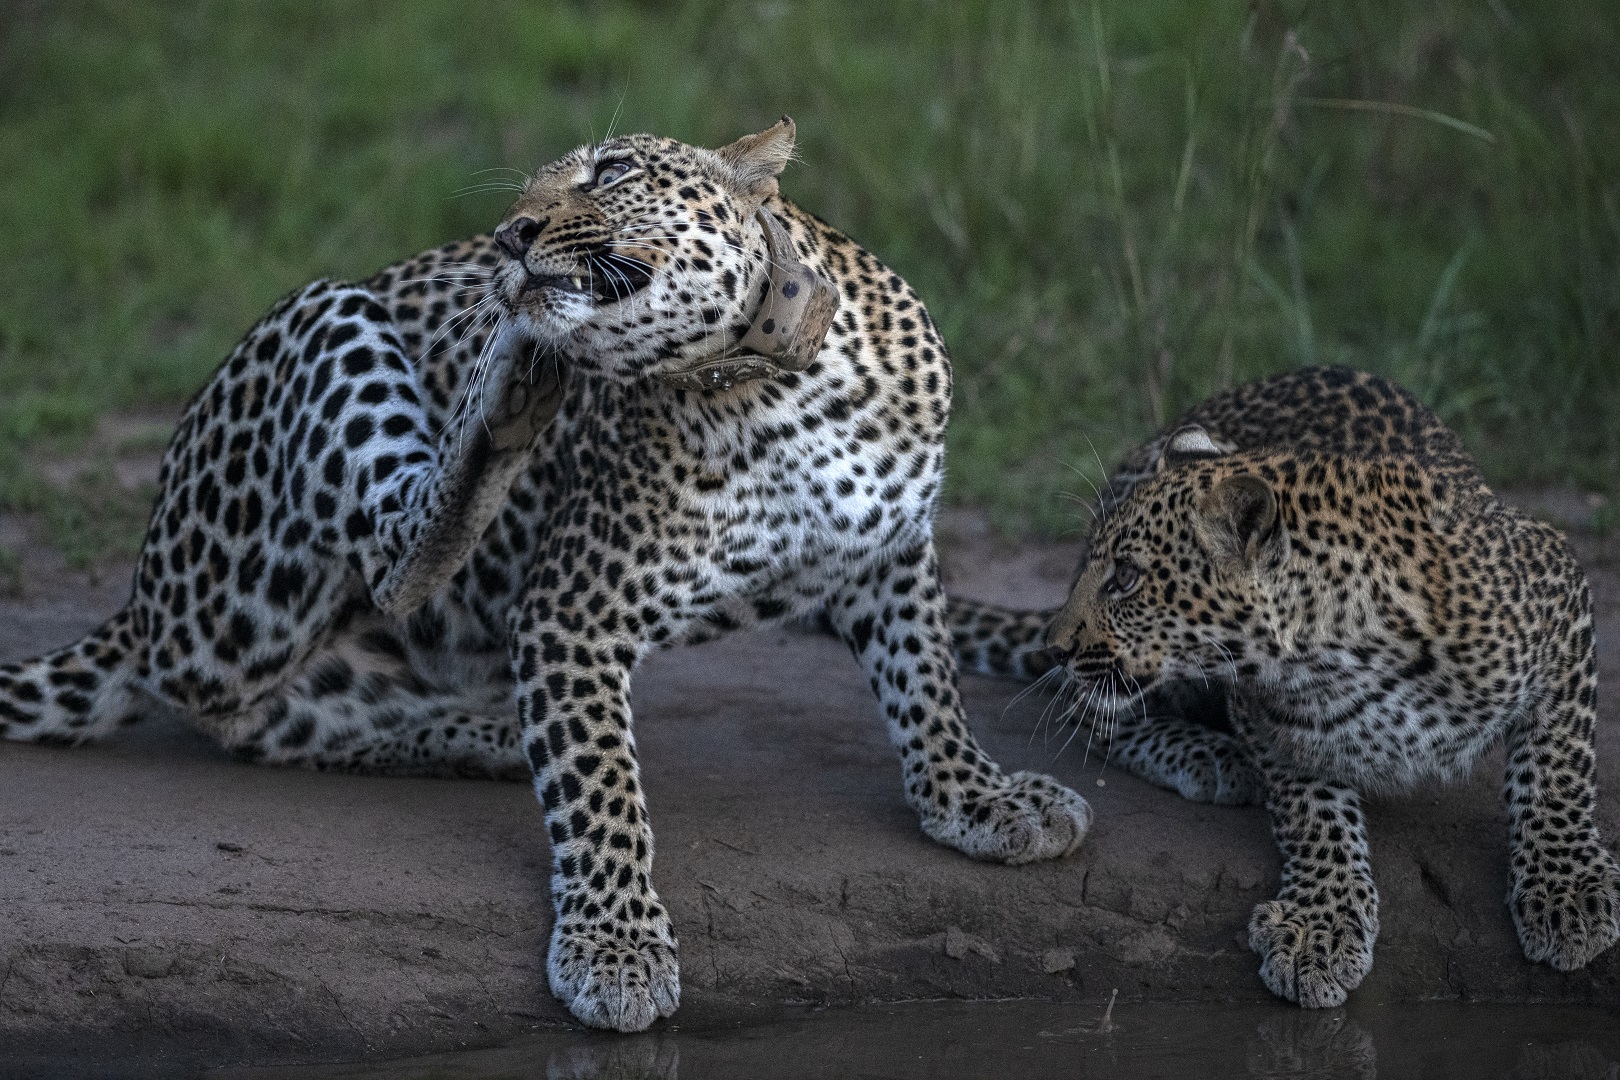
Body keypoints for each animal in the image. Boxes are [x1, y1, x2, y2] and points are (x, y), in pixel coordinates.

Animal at [3, 122, 1088, 1036]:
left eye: (610, 171)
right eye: (531, 189)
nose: (509, 235)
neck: (784, 389)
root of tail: (141, 595)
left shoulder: (890, 550)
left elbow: (925, 681)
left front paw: (978, 796)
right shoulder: (573, 610)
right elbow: (599, 789)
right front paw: (615, 949)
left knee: (283, 720)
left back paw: (482, 733)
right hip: (307, 360)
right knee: (384, 567)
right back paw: (506, 398)